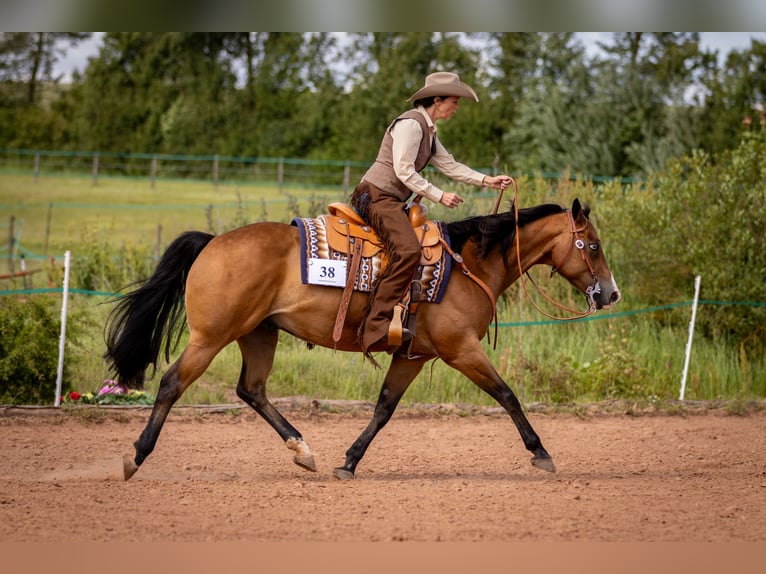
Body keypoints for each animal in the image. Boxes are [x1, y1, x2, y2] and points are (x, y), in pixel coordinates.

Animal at [104, 197, 620, 481]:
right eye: (593, 245)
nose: (611, 293)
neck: (468, 263)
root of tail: (212, 242)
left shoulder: (414, 355)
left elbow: (384, 408)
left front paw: (349, 461)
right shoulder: (461, 349)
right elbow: (507, 394)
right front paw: (541, 453)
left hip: (258, 334)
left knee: (251, 390)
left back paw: (303, 451)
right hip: (211, 337)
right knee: (172, 383)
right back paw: (135, 456)